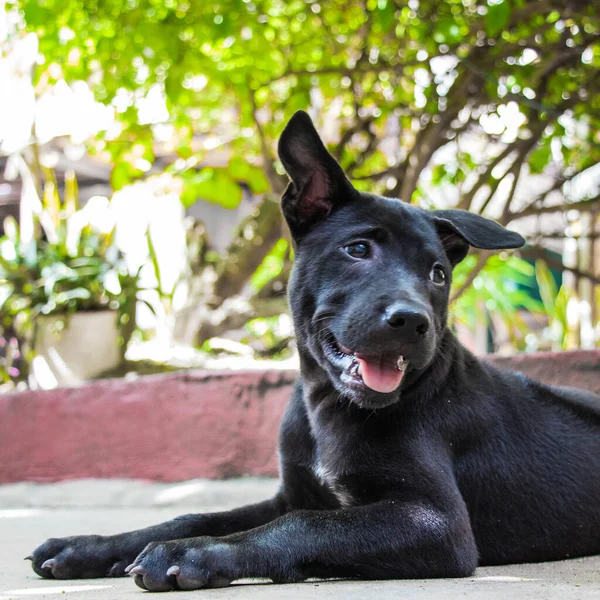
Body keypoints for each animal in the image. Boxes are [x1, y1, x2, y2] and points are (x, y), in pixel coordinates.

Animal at [29, 111, 600, 592]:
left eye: (438, 274)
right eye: (358, 249)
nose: (413, 322)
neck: (329, 406)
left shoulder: (438, 523)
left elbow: (301, 525)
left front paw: (195, 553)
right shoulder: (293, 492)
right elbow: (195, 515)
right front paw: (90, 546)